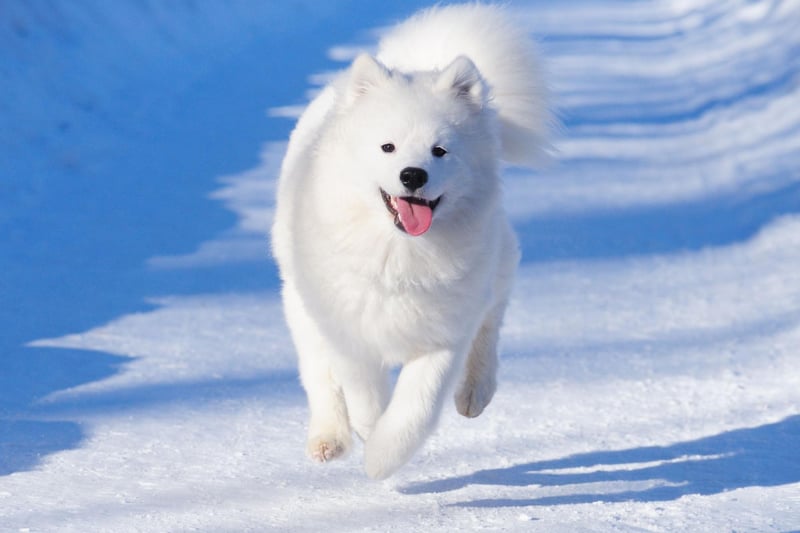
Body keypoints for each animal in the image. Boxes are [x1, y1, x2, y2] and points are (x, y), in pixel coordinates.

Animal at [272, 3, 552, 478]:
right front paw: (368, 437)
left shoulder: (442, 336)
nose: (413, 175)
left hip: (494, 268)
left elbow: (414, 410)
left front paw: (382, 460)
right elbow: (364, 398)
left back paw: (474, 393)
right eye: (388, 147)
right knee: (318, 375)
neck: (399, 253)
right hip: (300, 304)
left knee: (491, 320)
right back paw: (329, 440)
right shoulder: (350, 332)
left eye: (440, 150)